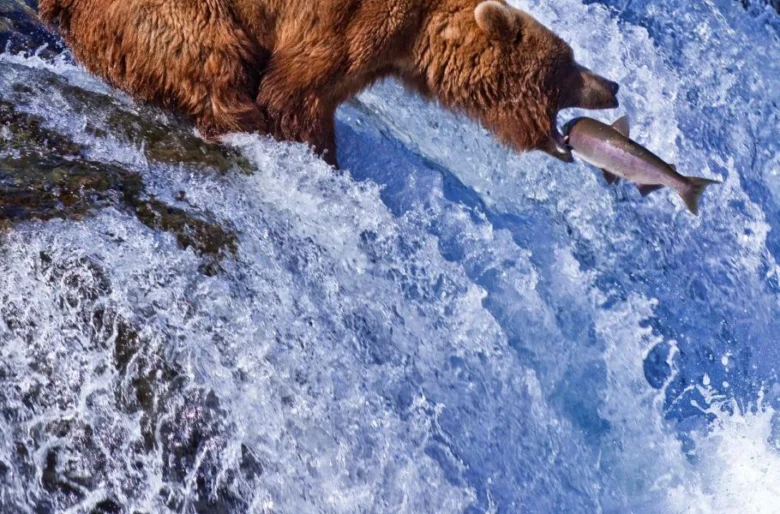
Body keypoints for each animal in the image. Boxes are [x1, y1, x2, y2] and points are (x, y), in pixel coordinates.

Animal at [38, 0, 619, 166]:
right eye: (568, 65)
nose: (612, 84)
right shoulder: (346, 23)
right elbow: (295, 92)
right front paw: (316, 152)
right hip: (169, 12)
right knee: (212, 57)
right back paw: (236, 118)